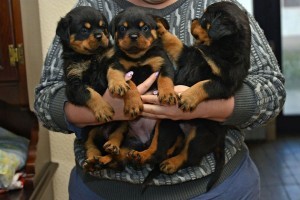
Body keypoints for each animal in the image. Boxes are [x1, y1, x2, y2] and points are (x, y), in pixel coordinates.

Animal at [56, 7, 129, 171]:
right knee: (92, 148)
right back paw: (92, 162)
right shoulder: (74, 84)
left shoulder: (112, 60)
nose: (99, 35)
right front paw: (103, 109)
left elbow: (114, 71)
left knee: (117, 139)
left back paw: (111, 147)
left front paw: (118, 84)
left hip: (123, 123)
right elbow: (90, 93)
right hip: (88, 132)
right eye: (84, 30)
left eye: (103, 27)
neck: (90, 57)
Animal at [128, 1, 251, 191]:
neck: (215, 48)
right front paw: (161, 30)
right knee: (158, 149)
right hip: (166, 125)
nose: (194, 19)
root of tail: (220, 141)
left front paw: (188, 98)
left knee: (191, 156)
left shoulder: (224, 83)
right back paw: (141, 156)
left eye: (205, 19)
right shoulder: (187, 55)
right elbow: (175, 43)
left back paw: (171, 164)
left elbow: (203, 85)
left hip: (201, 134)